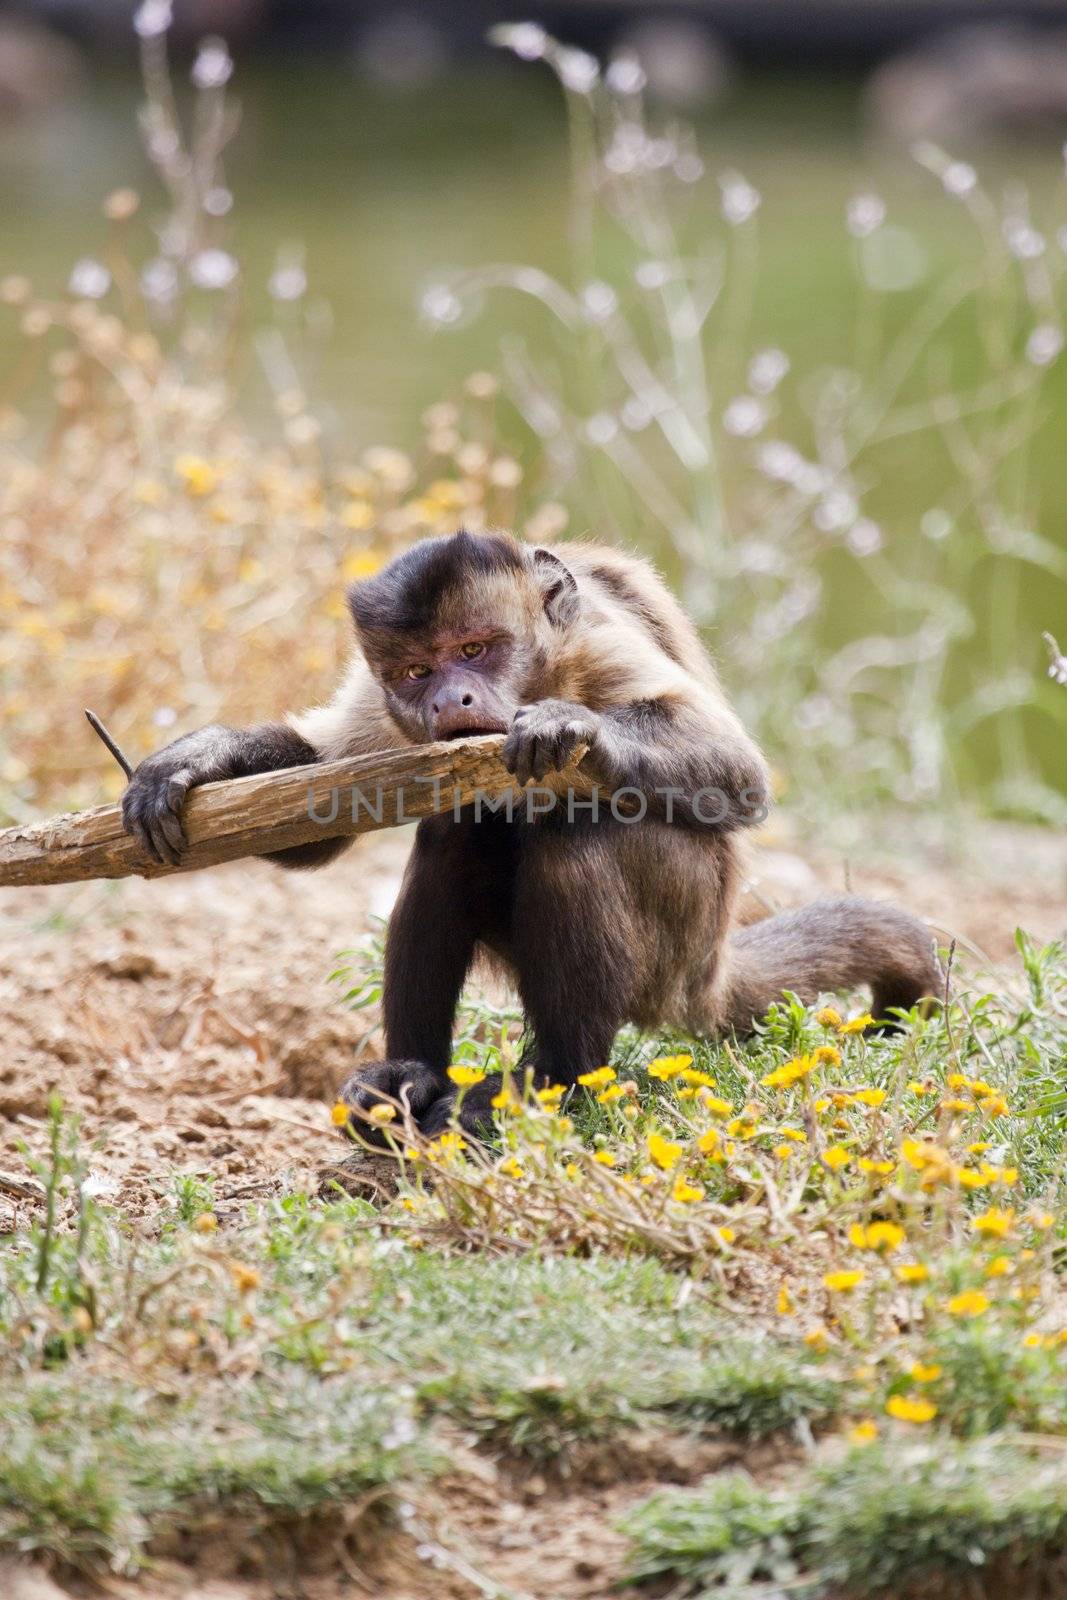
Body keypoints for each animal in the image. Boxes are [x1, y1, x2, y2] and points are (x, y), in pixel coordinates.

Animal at [119, 531, 940, 1132]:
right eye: (416, 671)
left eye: (475, 649)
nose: (451, 697)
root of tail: (706, 971)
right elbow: (318, 809)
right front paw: (203, 756)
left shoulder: (600, 642)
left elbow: (738, 780)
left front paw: (573, 730)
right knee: (454, 838)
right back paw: (412, 1075)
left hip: (678, 937)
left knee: (581, 836)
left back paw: (559, 1078)